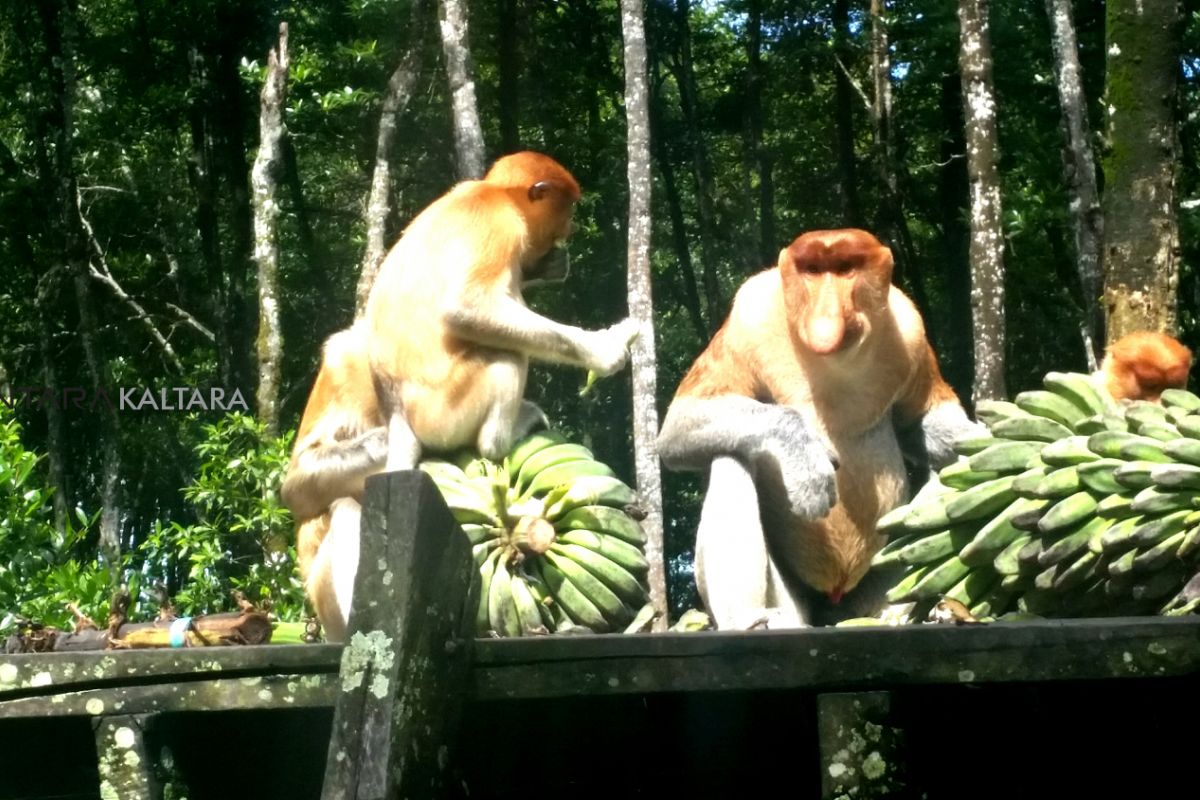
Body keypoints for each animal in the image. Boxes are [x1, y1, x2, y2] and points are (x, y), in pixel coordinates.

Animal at [362, 149, 638, 472]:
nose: (572, 227)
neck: (496, 192)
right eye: (568, 207)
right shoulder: (502, 224)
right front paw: (605, 351)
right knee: (507, 357)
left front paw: (550, 266)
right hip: (444, 411)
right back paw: (503, 438)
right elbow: (464, 307)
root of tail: (397, 416)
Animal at [657, 226, 984, 633]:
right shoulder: (747, 318)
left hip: (879, 584)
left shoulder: (910, 329)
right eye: (812, 270)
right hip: (793, 601)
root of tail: (836, 599)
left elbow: (919, 422)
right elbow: (679, 424)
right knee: (730, 458)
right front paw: (808, 465)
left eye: (845, 268)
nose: (826, 315)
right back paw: (748, 620)